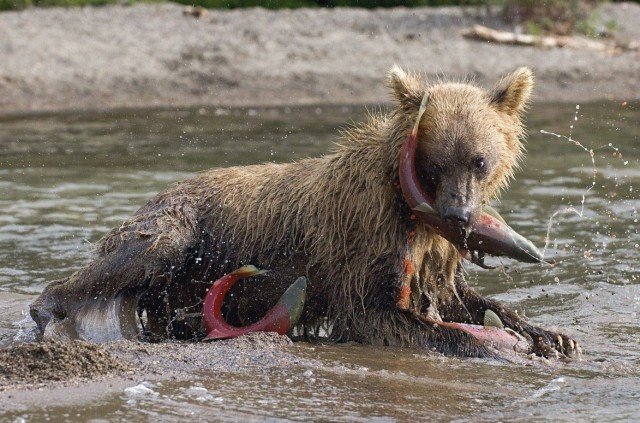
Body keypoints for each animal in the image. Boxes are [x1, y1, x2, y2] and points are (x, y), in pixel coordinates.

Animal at [30, 65, 580, 358]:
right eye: (434, 162)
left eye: (478, 160)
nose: (461, 215)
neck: (406, 208)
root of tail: (162, 189)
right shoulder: (361, 239)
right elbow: (378, 314)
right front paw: (493, 344)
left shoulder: (430, 253)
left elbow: (458, 296)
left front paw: (551, 335)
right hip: (181, 226)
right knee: (131, 258)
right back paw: (49, 313)